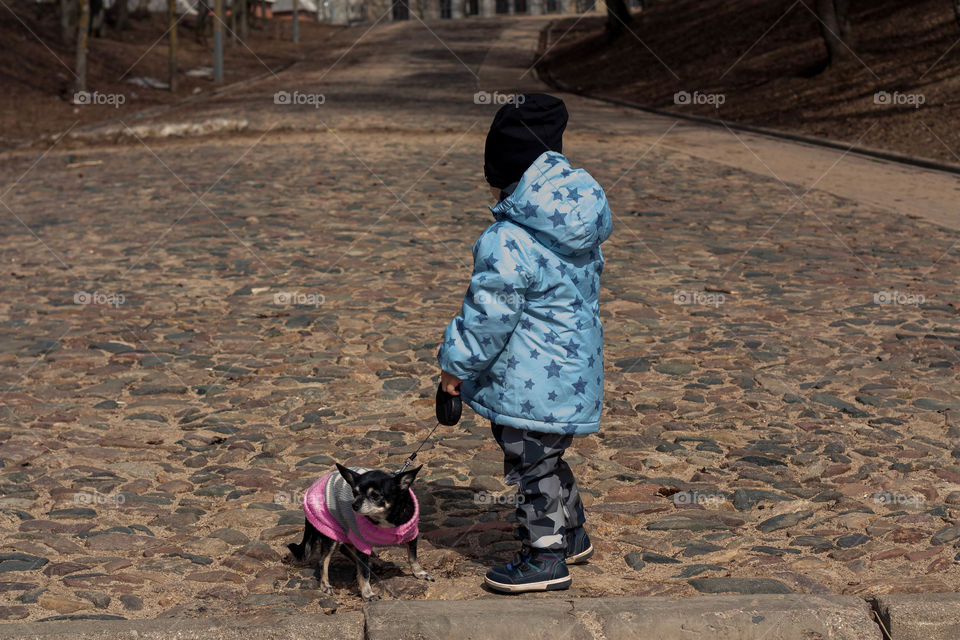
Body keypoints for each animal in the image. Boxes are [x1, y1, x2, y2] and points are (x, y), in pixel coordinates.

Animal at [286, 460, 434, 600]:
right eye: (354, 493)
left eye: (375, 496)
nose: (354, 505)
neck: (385, 518)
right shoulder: (362, 544)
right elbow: (364, 573)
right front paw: (368, 594)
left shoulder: (412, 535)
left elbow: (413, 557)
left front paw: (419, 573)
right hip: (332, 533)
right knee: (324, 560)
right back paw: (325, 585)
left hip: (347, 530)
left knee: (345, 550)